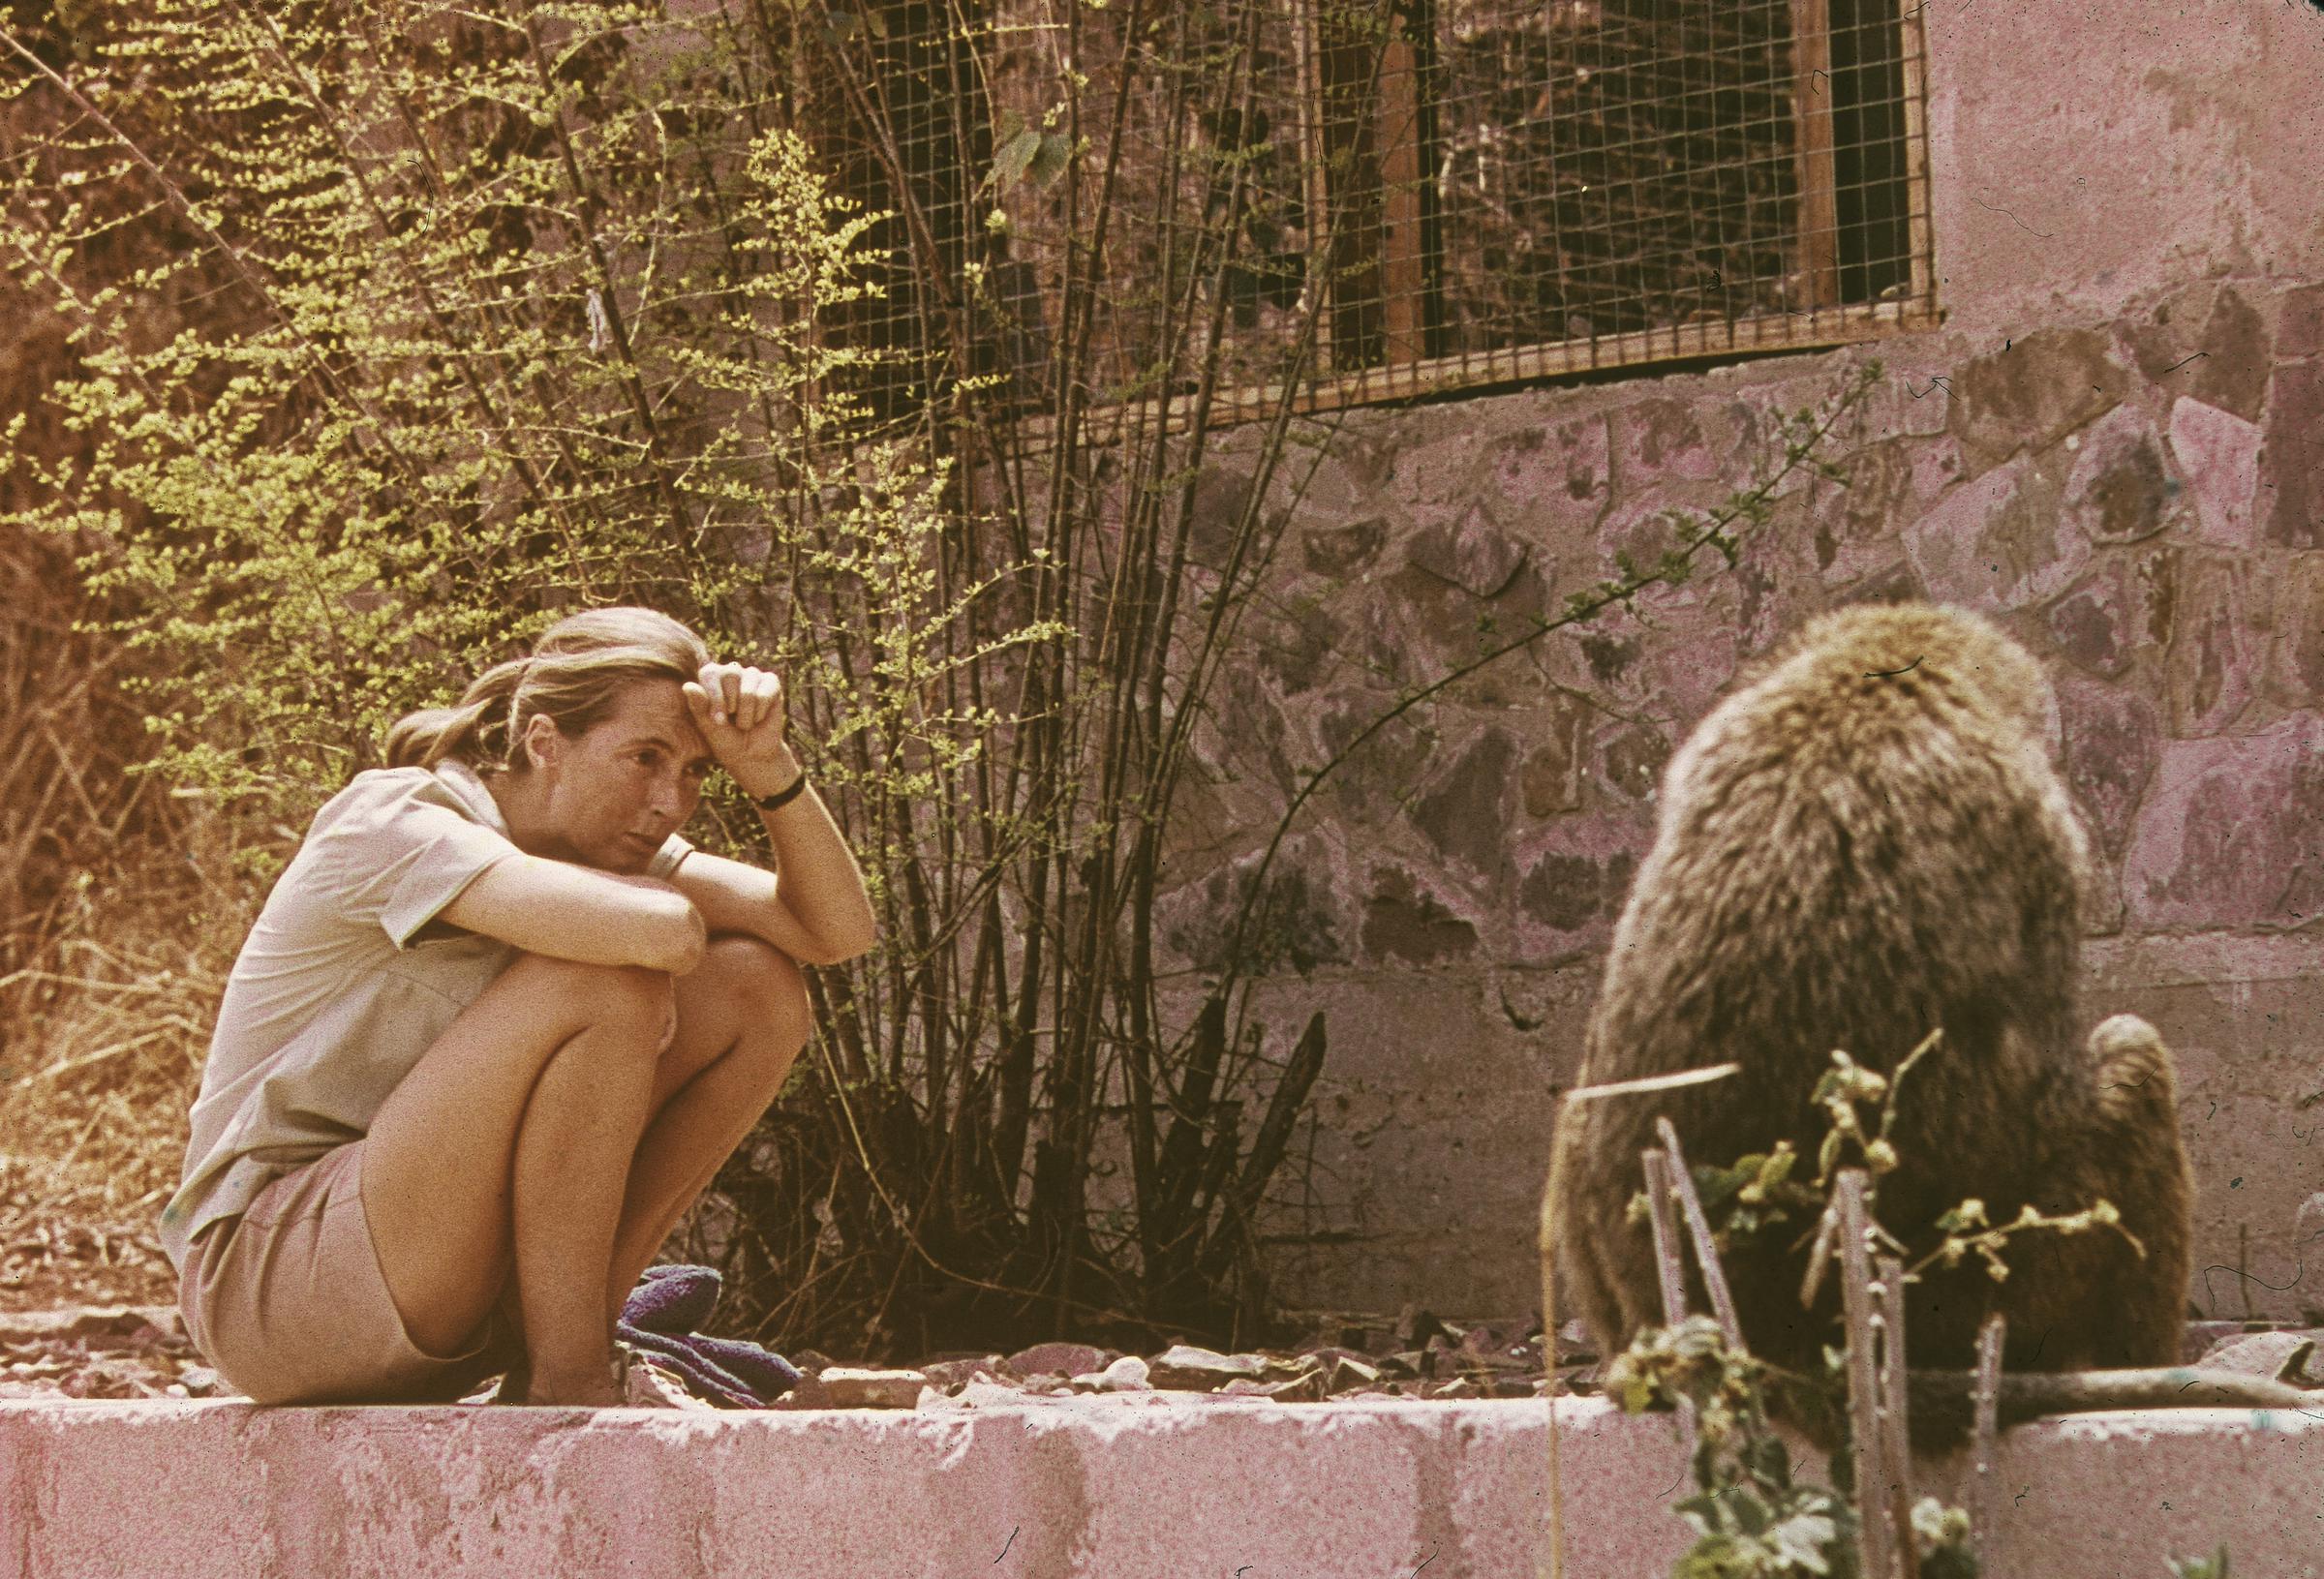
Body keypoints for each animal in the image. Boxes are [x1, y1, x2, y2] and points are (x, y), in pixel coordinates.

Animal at [1541, 602, 2197, 1428]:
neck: (1862, 683)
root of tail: (1774, 1346)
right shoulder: (2039, 832)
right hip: (1987, 1292)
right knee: (2133, 1058)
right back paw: (2145, 1364)